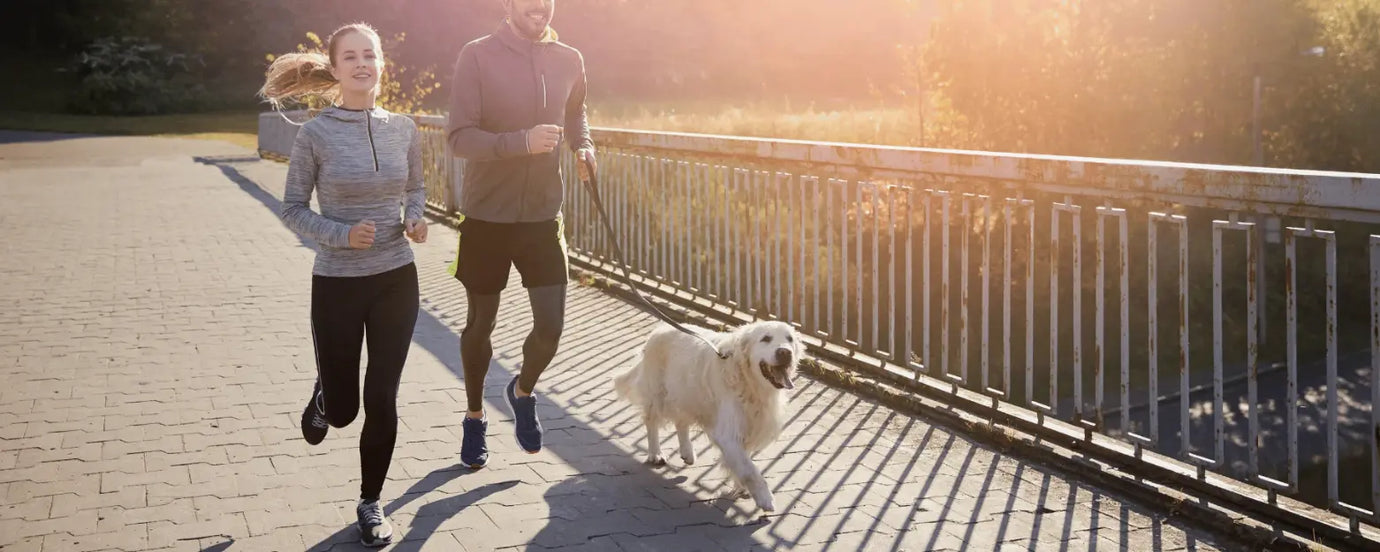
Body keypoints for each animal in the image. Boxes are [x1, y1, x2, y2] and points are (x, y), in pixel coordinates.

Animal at [612, 318, 800, 513]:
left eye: (789, 339)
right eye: (766, 338)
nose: (785, 352)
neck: (750, 384)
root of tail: (659, 330)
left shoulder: (747, 426)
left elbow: (743, 461)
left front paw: (740, 485)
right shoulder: (728, 432)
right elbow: (750, 469)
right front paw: (765, 498)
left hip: (686, 394)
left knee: (681, 422)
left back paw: (687, 452)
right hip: (658, 393)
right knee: (651, 421)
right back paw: (656, 453)